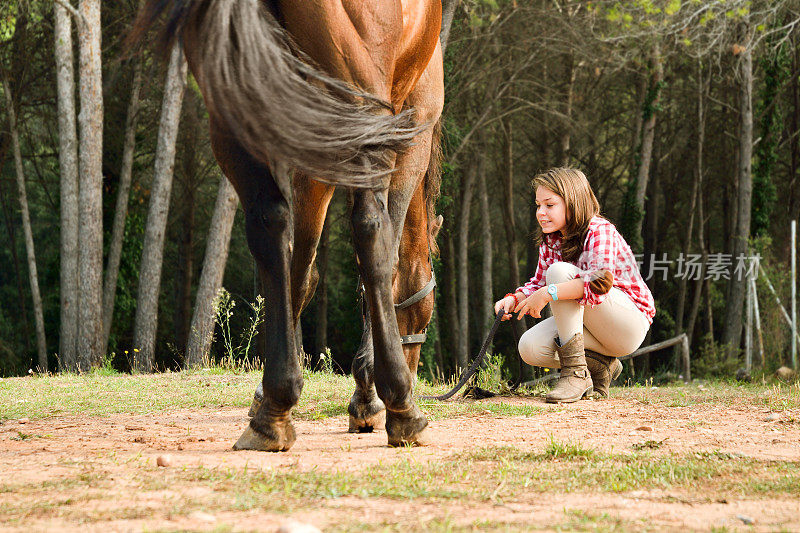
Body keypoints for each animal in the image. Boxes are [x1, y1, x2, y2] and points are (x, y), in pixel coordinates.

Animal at [133, 0, 444, 448]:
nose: (416, 366)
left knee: (269, 222)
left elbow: (300, 272)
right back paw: (403, 408)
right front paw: (369, 395)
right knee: (370, 227)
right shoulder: (413, 120)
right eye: (426, 314)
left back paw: (272, 415)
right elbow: (380, 260)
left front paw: (267, 396)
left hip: (237, 111)